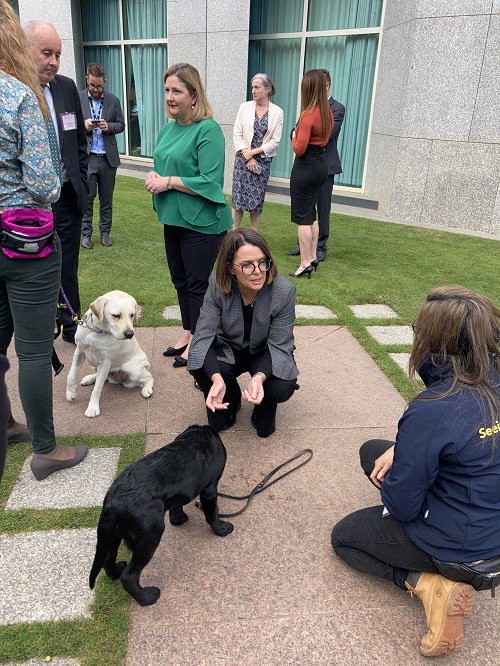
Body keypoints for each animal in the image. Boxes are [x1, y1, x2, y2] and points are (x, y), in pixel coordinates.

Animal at [88, 422, 232, 604]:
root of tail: (113, 502)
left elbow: (177, 506)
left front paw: (179, 520)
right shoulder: (210, 489)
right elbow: (213, 513)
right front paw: (222, 529)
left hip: (113, 533)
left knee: (107, 560)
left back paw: (116, 572)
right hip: (151, 536)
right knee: (129, 576)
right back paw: (147, 597)